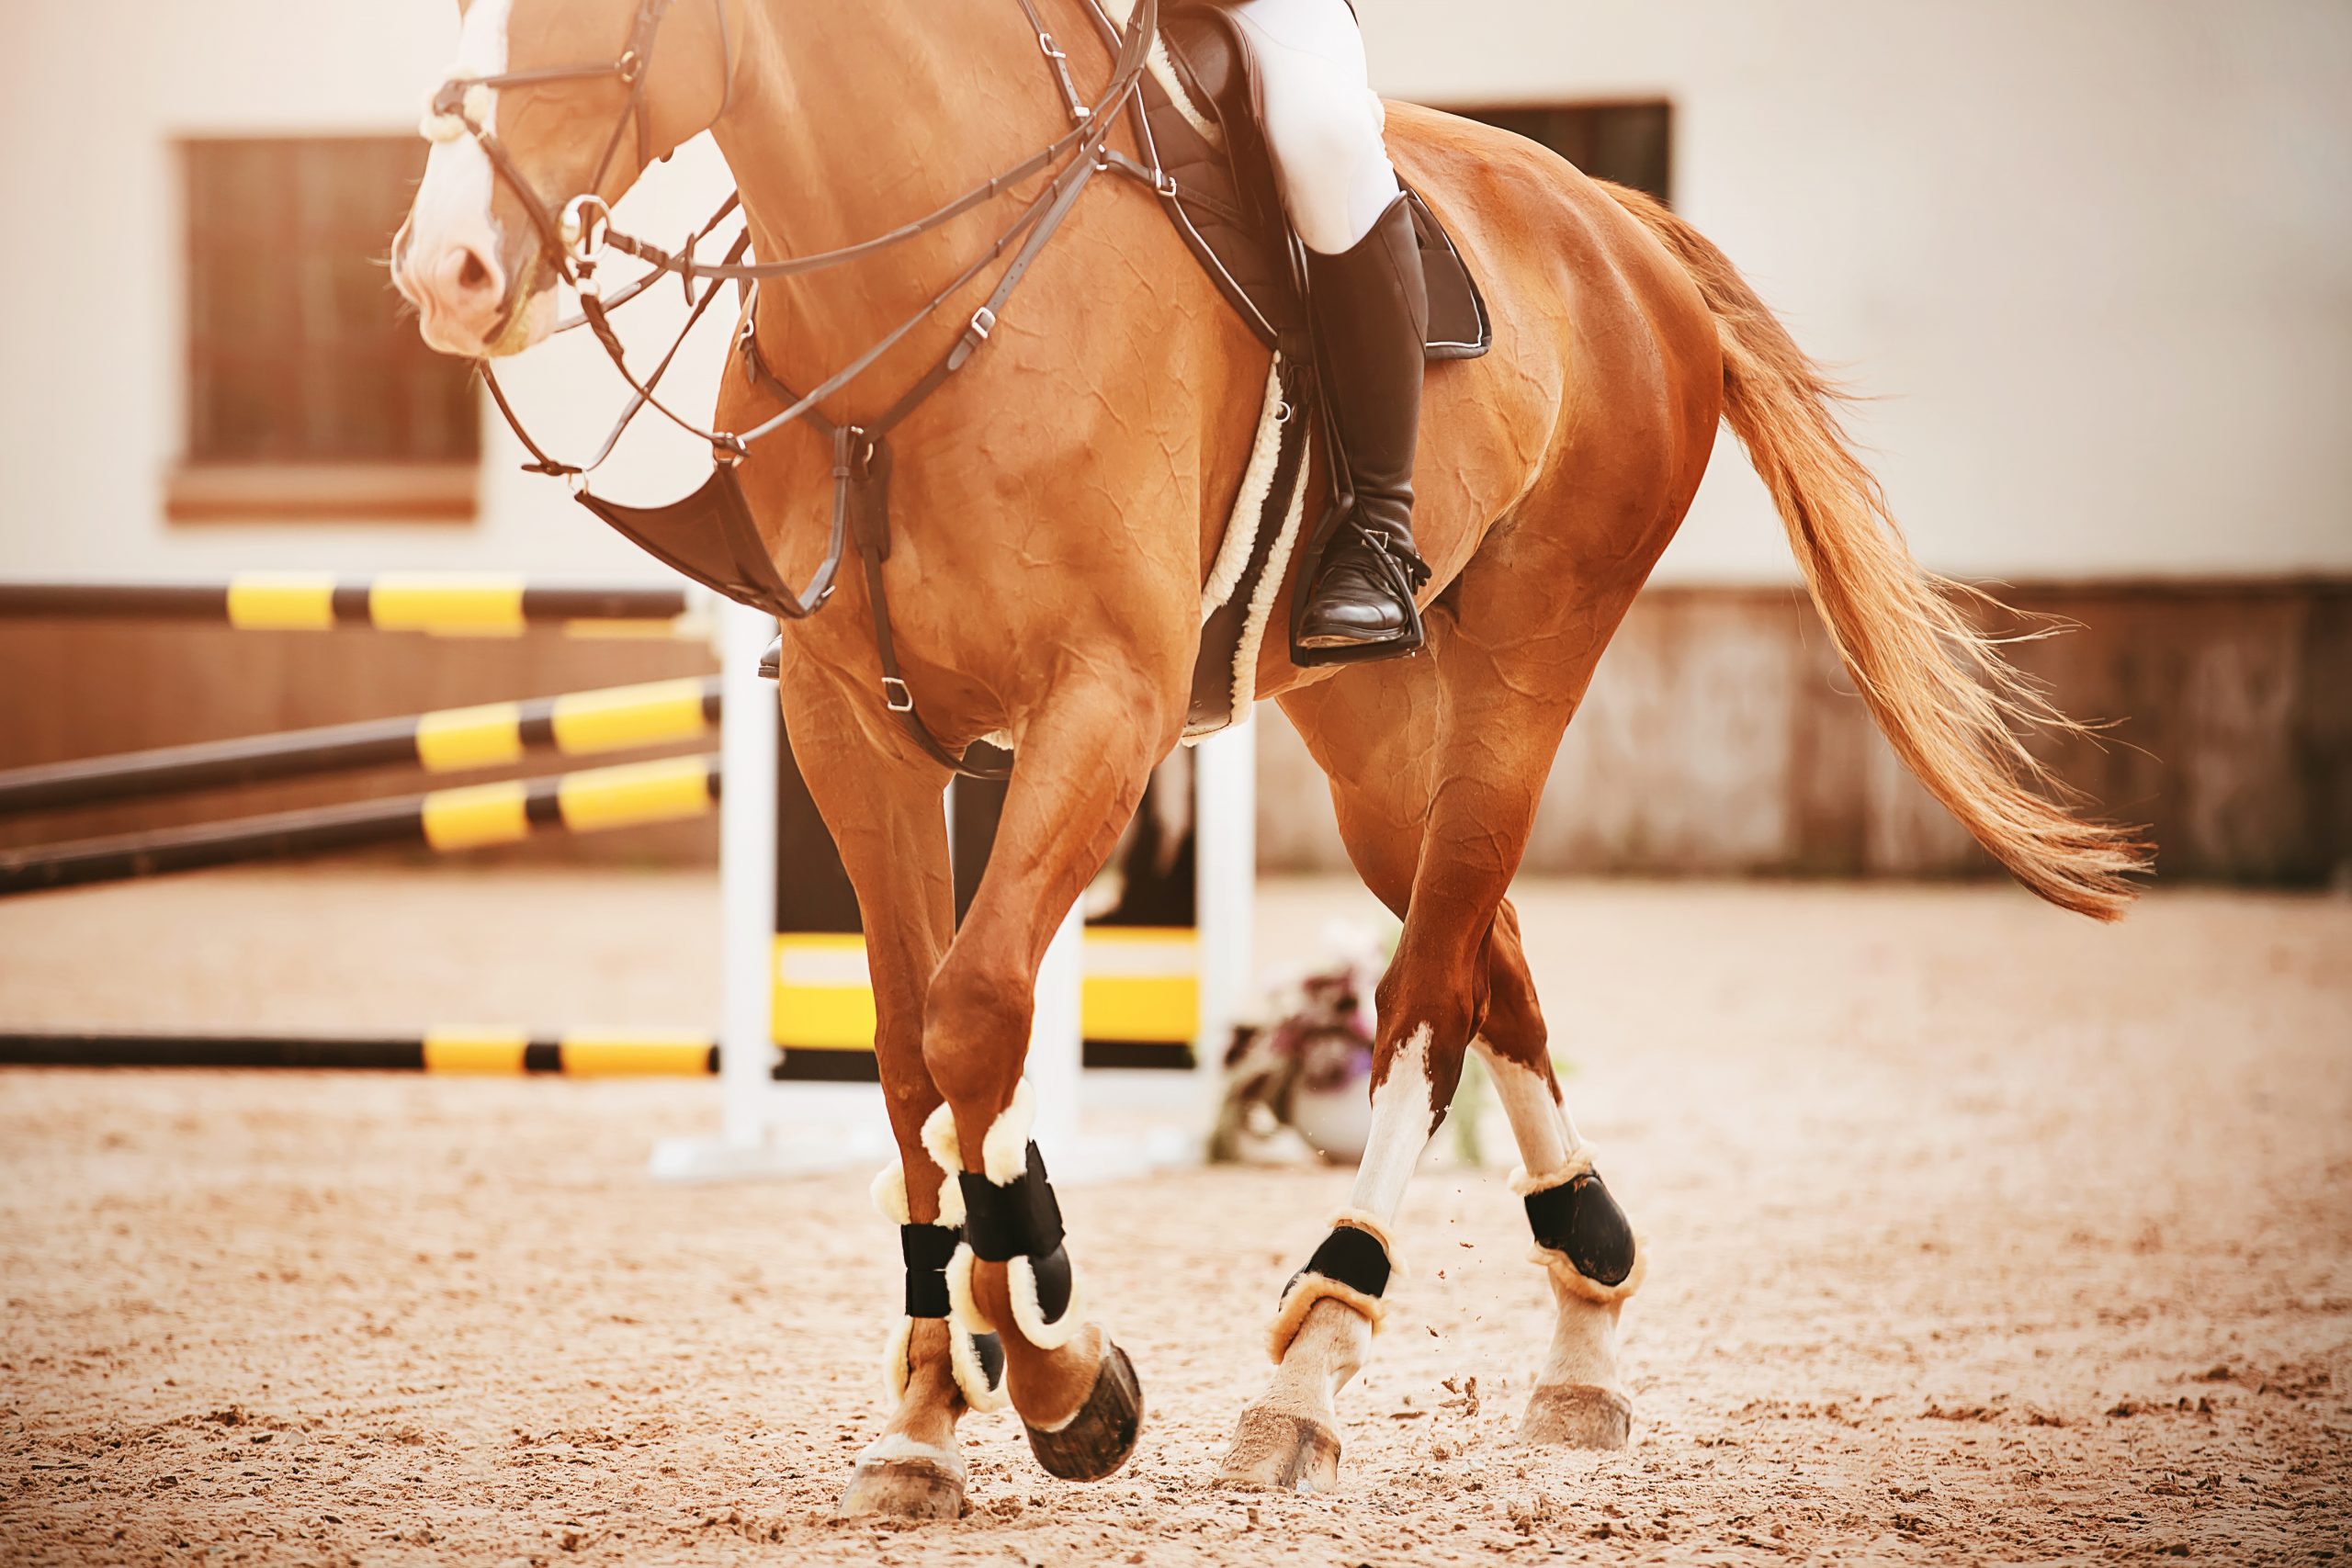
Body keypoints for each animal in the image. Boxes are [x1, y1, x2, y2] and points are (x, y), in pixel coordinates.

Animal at [395, 0, 2144, 1523]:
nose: (444, 271)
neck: (930, 287)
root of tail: (1621, 222)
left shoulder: (1099, 706)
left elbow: (977, 1019)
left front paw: (1062, 1369)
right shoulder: (850, 726)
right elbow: (904, 1058)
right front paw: (926, 1417)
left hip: (1528, 664)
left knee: (1426, 993)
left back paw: (1315, 1355)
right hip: (1370, 740)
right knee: (1487, 951)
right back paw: (1584, 1326)